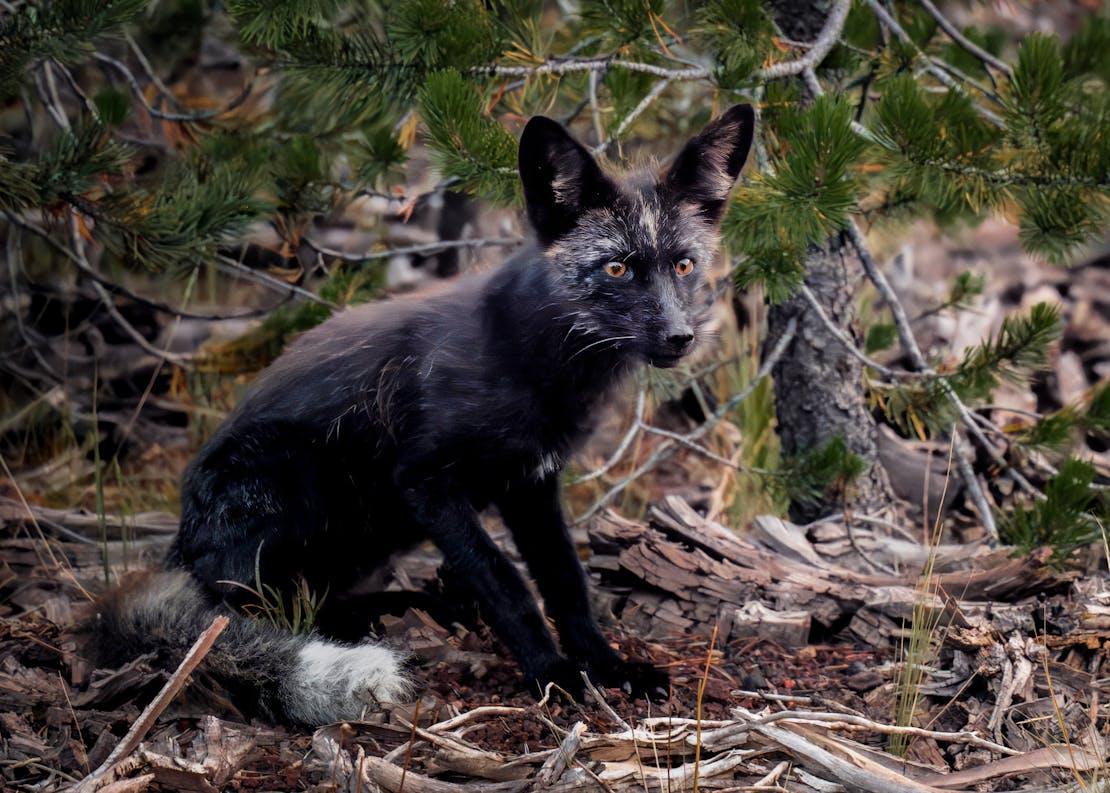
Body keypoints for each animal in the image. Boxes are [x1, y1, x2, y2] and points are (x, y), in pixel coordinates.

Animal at [91, 105, 756, 726]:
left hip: (366, 531)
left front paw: (608, 666)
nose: (680, 338)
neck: (536, 363)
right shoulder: (427, 482)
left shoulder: (532, 483)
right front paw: (552, 674)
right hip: (302, 491)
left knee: (309, 596)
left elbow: (567, 582)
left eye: (683, 265)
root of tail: (179, 545)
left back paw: (413, 610)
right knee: (248, 610)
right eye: (617, 268)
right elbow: (508, 582)